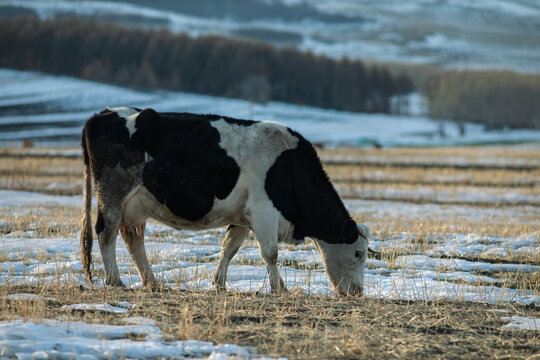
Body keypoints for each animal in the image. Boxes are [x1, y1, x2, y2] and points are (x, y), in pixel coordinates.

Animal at [80, 107, 372, 296]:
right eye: (359, 253)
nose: (357, 292)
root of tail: (102, 114)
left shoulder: (243, 218)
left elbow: (229, 248)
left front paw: (219, 283)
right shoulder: (263, 212)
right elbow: (271, 253)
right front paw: (280, 288)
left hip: (137, 205)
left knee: (133, 238)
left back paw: (151, 282)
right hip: (112, 195)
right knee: (105, 233)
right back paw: (115, 280)